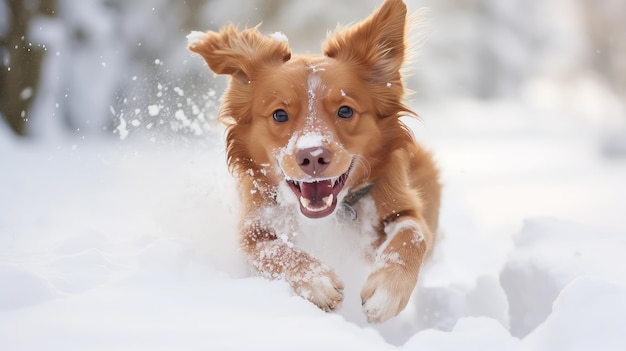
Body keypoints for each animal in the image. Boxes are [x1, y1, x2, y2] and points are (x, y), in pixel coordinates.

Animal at [185, 0, 438, 324]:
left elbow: (412, 235)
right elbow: (273, 250)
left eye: (345, 111)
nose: (314, 155)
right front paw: (318, 280)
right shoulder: (251, 232)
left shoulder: (402, 208)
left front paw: (386, 292)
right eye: (279, 114)